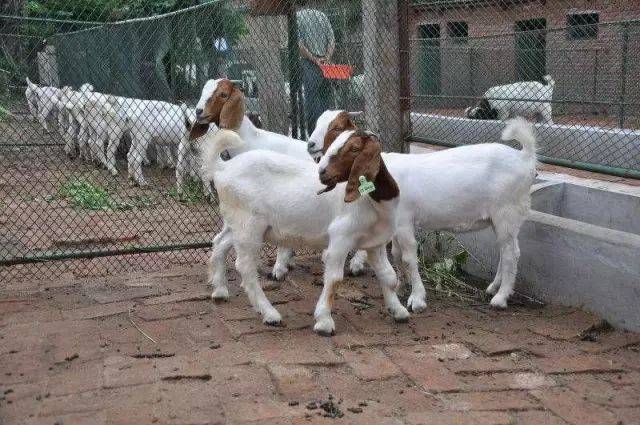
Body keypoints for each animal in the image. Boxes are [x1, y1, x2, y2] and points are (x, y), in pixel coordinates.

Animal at [308, 109, 536, 308]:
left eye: (353, 147)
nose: (322, 171)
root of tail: (524, 157)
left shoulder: (404, 222)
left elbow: (409, 257)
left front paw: (417, 298)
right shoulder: (395, 226)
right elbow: (397, 255)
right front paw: (400, 286)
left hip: (507, 212)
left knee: (511, 254)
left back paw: (500, 297)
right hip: (501, 218)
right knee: (505, 251)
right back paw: (493, 287)